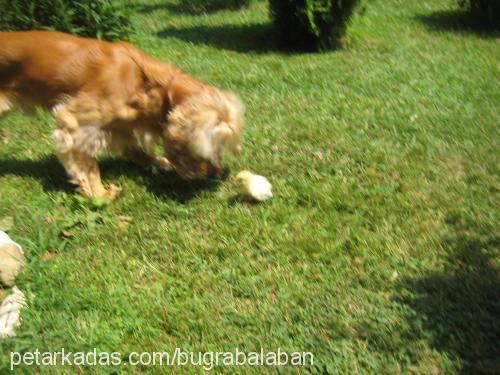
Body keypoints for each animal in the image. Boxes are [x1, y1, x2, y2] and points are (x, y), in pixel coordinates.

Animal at [0, 30, 243, 200]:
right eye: (208, 148)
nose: (216, 173)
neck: (148, 84)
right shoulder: (75, 123)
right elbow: (88, 165)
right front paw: (99, 194)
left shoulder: (123, 127)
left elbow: (138, 150)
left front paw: (158, 162)